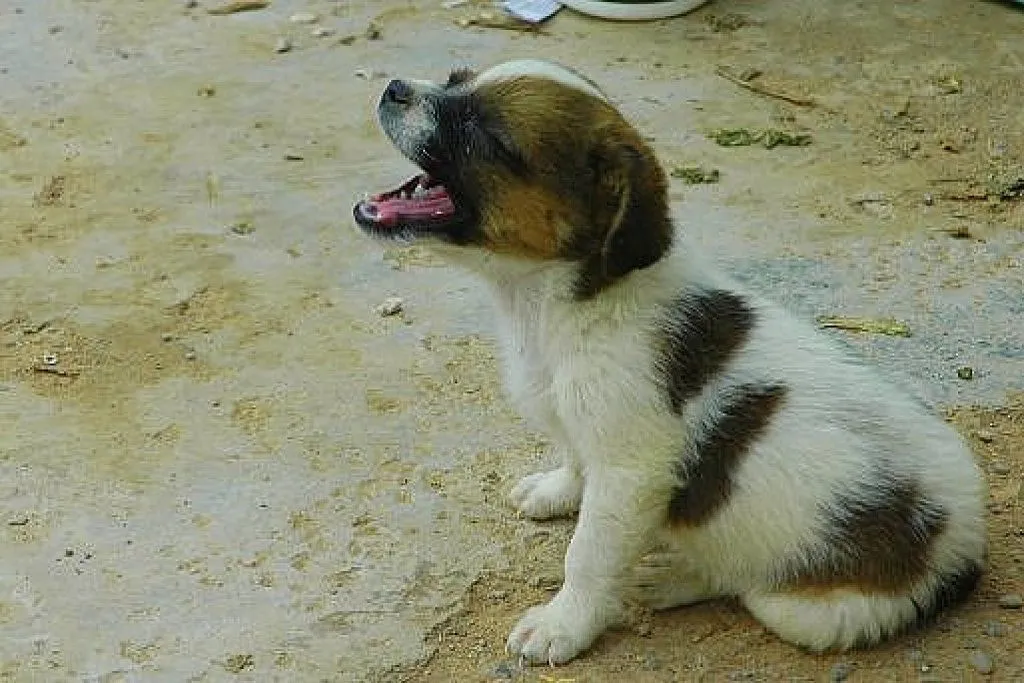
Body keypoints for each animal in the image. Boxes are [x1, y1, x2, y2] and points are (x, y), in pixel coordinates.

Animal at [350, 60, 983, 667]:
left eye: (485, 135)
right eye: (457, 79)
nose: (394, 87)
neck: (552, 304)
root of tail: (965, 551)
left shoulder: (631, 472)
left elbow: (587, 555)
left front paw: (563, 624)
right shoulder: (584, 428)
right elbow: (574, 460)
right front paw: (556, 491)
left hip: (808, 611)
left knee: (742, 584)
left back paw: (674, 576)